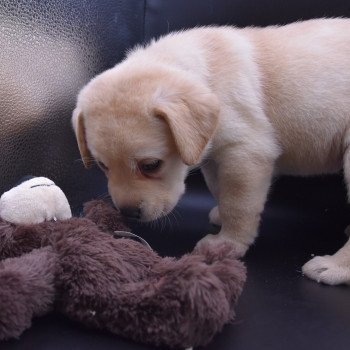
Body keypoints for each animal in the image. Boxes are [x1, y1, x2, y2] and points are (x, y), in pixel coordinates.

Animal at [72, 18, 350, 284]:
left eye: (151, 165)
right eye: (103, 166)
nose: (128, 213)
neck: (209, 75)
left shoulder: (246, 153)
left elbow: (238, 204)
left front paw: (227, 244)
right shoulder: (214, 157)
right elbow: (220, 191)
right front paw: (221, 218)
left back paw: (334, 267)